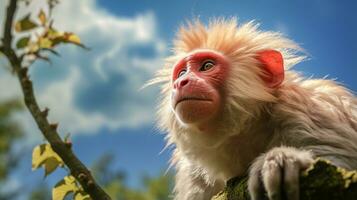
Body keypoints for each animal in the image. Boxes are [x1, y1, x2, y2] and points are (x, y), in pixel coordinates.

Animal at [148, 18, 356, 200]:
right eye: (182, 72)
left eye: (206, 66)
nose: (181, 83)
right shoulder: (193, 174)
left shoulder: (310, 112)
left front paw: (284, 160)